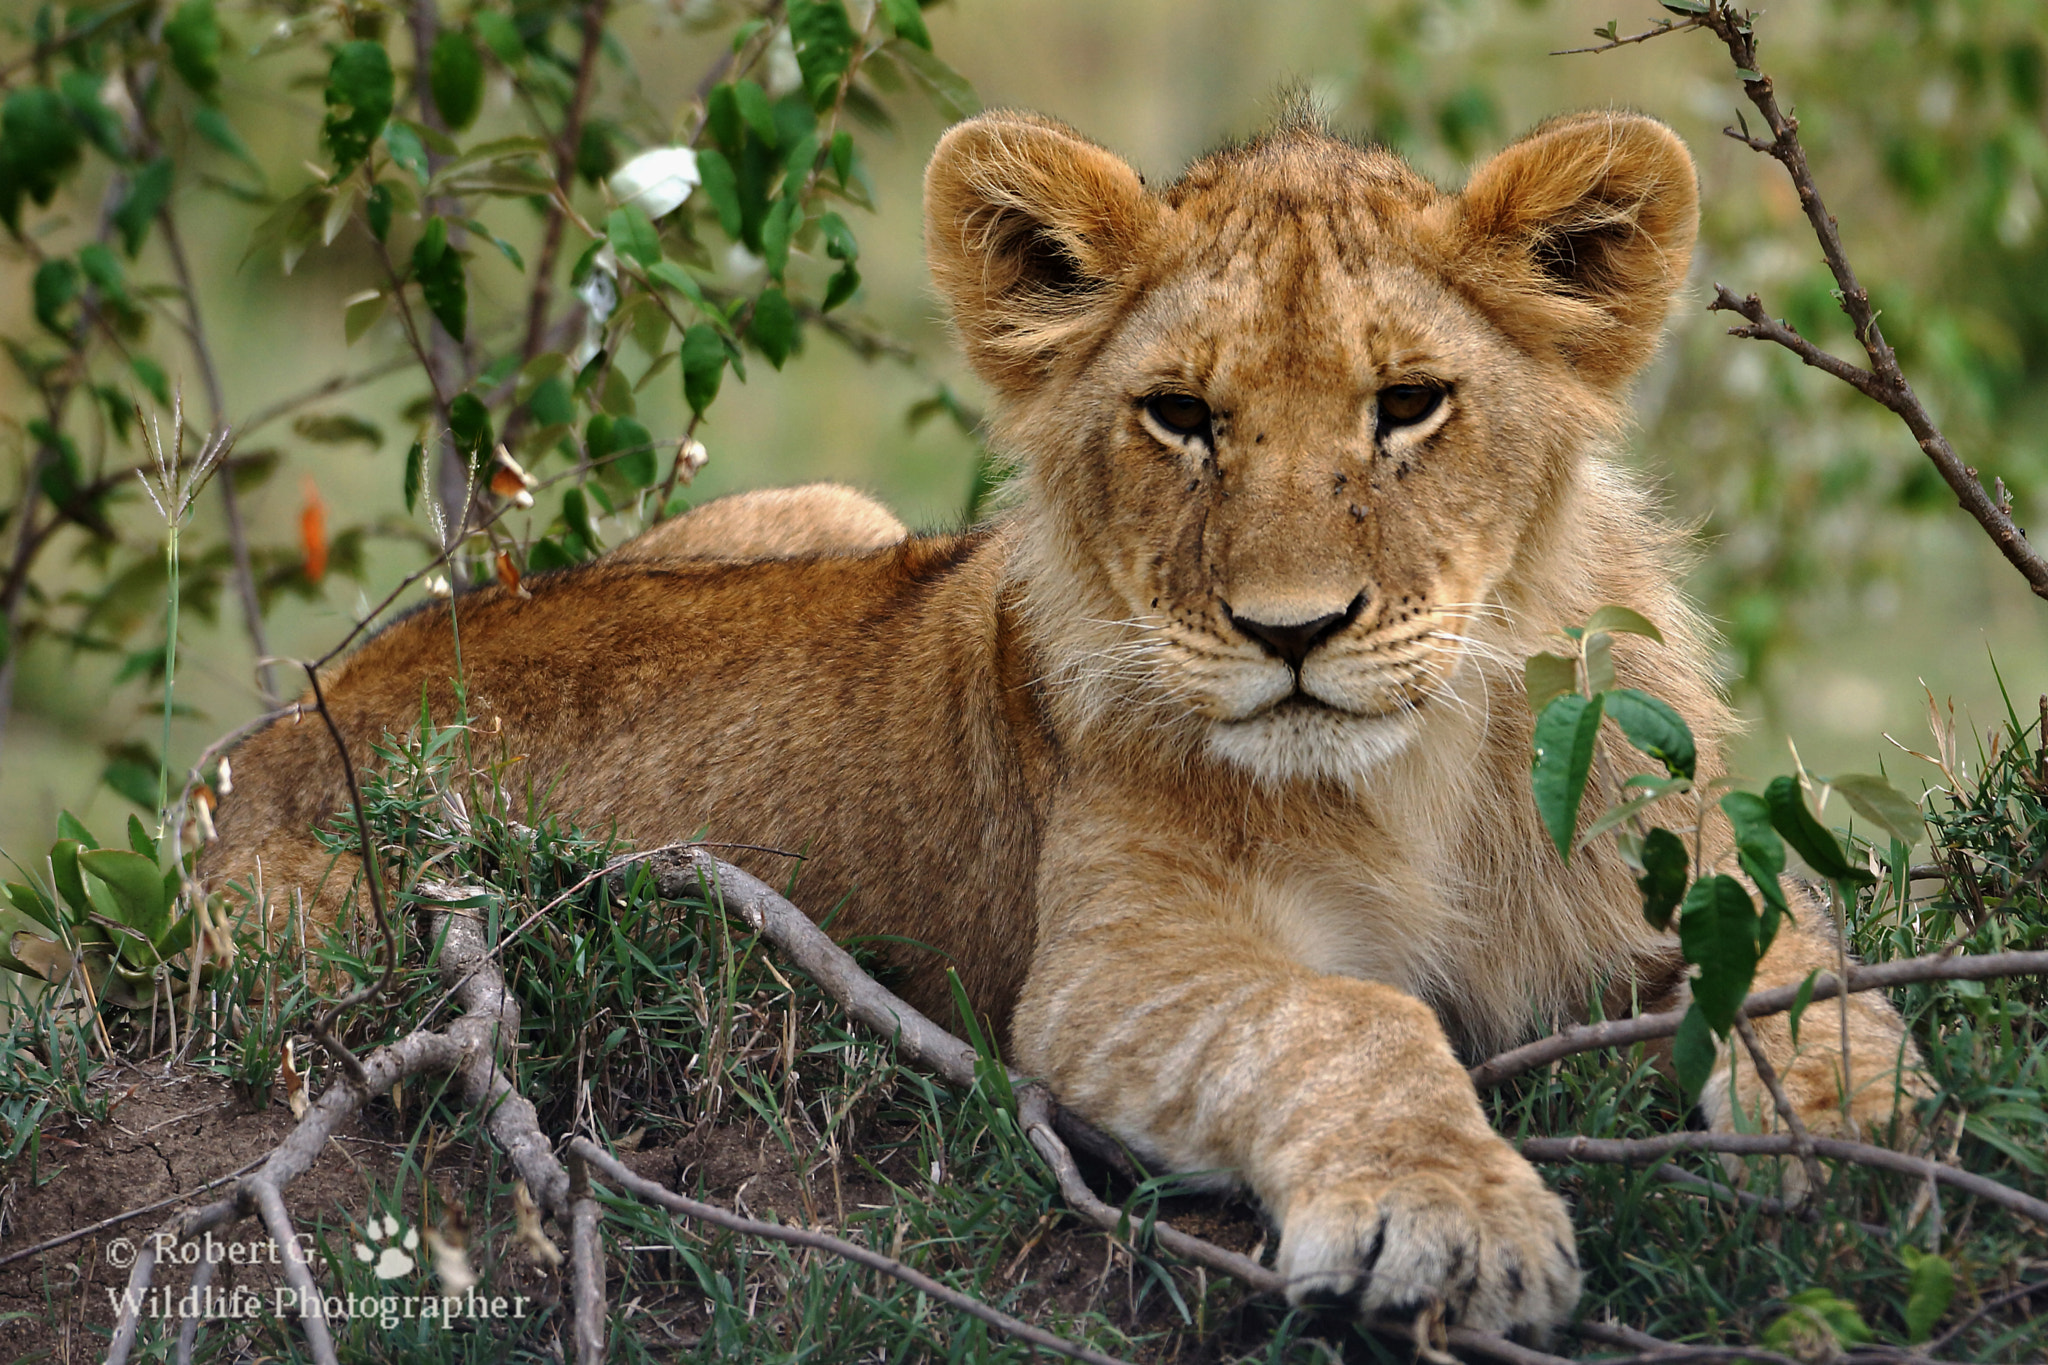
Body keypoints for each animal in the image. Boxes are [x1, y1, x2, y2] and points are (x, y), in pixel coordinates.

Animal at [203, 107, 1932, 1334]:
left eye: (1409, 404)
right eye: (1179, 416)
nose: (1291, 634)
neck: (1420, 774)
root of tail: (284, 730)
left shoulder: (1678, 860)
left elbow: (1806, 952)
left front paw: (1866, 1118)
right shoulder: (1108, 971)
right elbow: (1348, 1016)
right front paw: (1449, 1222)